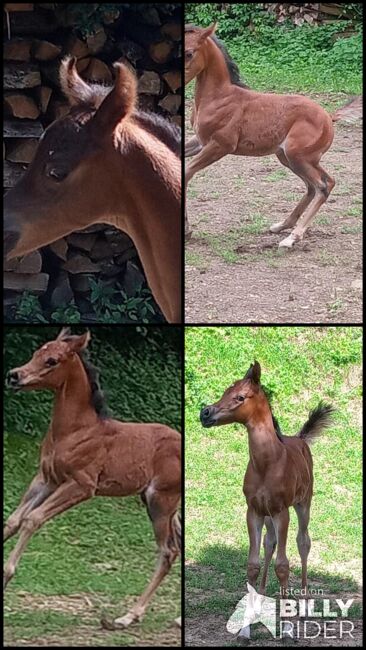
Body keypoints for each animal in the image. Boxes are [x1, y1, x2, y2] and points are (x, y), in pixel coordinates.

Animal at [4, 326, 182, 624]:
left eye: (52, 360)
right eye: (36, 352)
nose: (14, 375)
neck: (75, 431)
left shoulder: (82, 485)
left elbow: (33, 519)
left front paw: (6, 574)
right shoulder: (46, 479)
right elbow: (13, 520)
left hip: (161, 502)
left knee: (167, 551)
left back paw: (128, 616)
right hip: (164, 505)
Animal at [200, 356, 334, 600]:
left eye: (240, 397)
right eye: (225, 392)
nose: (205, 413)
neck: (266, 464)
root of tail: (301, 439)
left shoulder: (282, 512)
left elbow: (282, 565)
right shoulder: (254, 511)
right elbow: (253, 563)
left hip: (303, 503)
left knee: (303, 541)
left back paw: (304, 594)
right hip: (268, 514)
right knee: (269, 542)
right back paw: (262, 592)